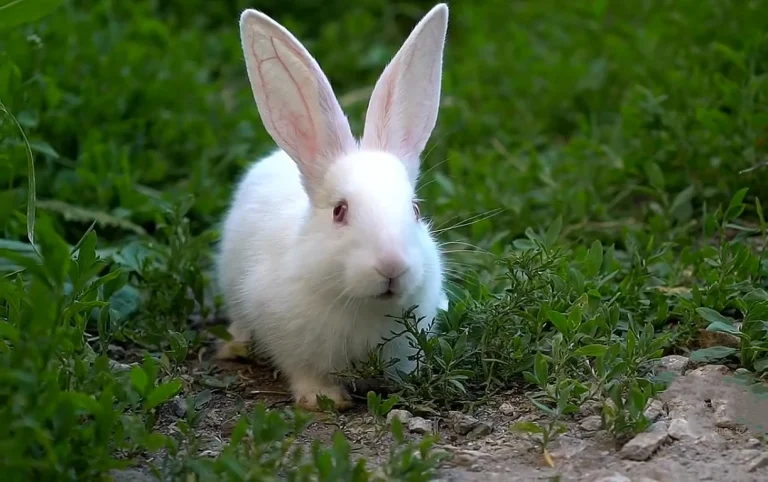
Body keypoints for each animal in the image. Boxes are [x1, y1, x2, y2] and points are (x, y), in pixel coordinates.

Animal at [215, 3, 450, 411]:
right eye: (340, 211)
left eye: (416, 210)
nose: (392, 266)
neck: (362, 304)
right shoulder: (293, 345)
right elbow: (305, 372)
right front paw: (322, 399)